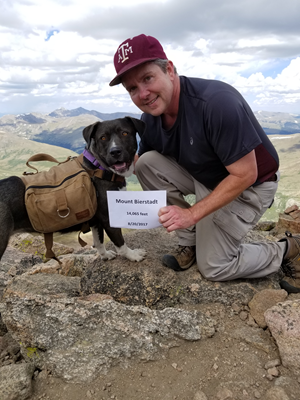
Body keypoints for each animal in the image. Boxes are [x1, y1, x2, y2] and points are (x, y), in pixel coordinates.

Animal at [0, 116, 146, 262]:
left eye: (125, 133)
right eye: (103, 138)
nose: (115, 151)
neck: (99, 168)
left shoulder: (96, 221)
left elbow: (98, 241)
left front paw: (105, 255)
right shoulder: (108, 218)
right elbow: (120, 243)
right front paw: (133, 255)